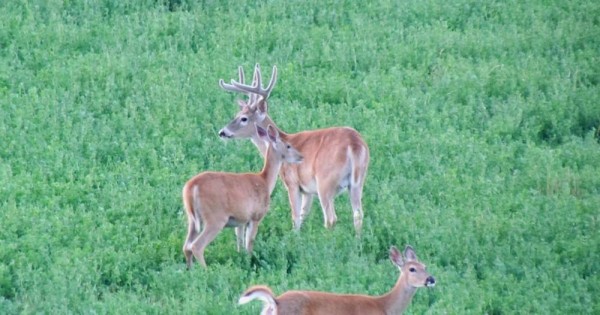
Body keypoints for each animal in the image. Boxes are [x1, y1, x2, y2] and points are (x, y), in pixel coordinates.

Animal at [182, 124, 304, 268]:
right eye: (288, 146)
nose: (301, 156)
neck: (265, 181)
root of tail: (191, 186)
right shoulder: (256, 216)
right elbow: (249, 243)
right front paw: (250, 263)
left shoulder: (239, 220)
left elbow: (240, 243)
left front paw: (242, 260)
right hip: (215, 217)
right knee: (196, 246)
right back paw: (205, 270)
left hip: (193, 219)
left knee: (186, 246)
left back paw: (191, 270)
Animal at [218, 64, 368, 236]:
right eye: (237, 114)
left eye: (244, 118)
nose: (222, 132)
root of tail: (354, 144)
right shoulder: (308, 190)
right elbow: (304, 215)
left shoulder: (292, 182)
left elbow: (295, 218)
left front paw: (295, 238)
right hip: (357, 182)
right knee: (358, 214)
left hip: (325, 181)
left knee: (331, 218)